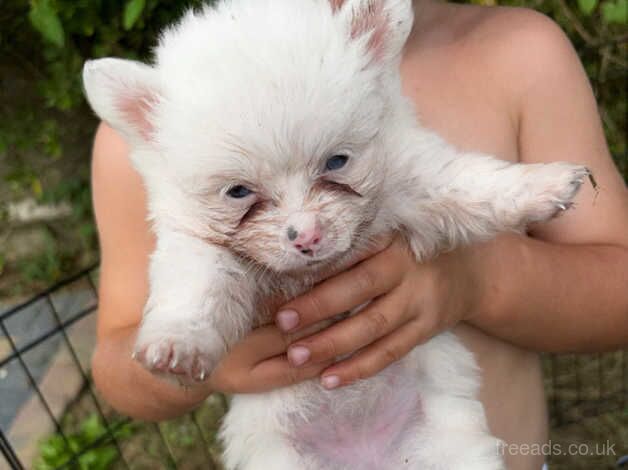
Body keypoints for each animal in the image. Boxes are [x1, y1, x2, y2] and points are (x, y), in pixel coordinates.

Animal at [82, 1, 588, 468]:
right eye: (238, 192)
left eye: (337, 161)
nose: (305, 236)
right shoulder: (200, 248)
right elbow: (197, 291)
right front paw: (178, 343)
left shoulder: (413, 180)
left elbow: (475, 184)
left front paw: (543, 185)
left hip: (449, 448)